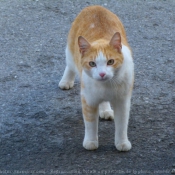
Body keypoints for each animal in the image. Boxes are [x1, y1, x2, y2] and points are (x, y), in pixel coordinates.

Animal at [58, 5, 134, 150]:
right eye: (92, 64)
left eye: (110, 62)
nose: (102, 74)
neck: (107, 86)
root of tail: (94, 6)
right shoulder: (88, 99)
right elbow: (90, 123)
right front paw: (91, 141)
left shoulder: (122, 101)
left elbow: (122, 124)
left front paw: (122, 142)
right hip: (71, 54)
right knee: (70, 65)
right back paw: (66, 80)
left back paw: (105, 110)